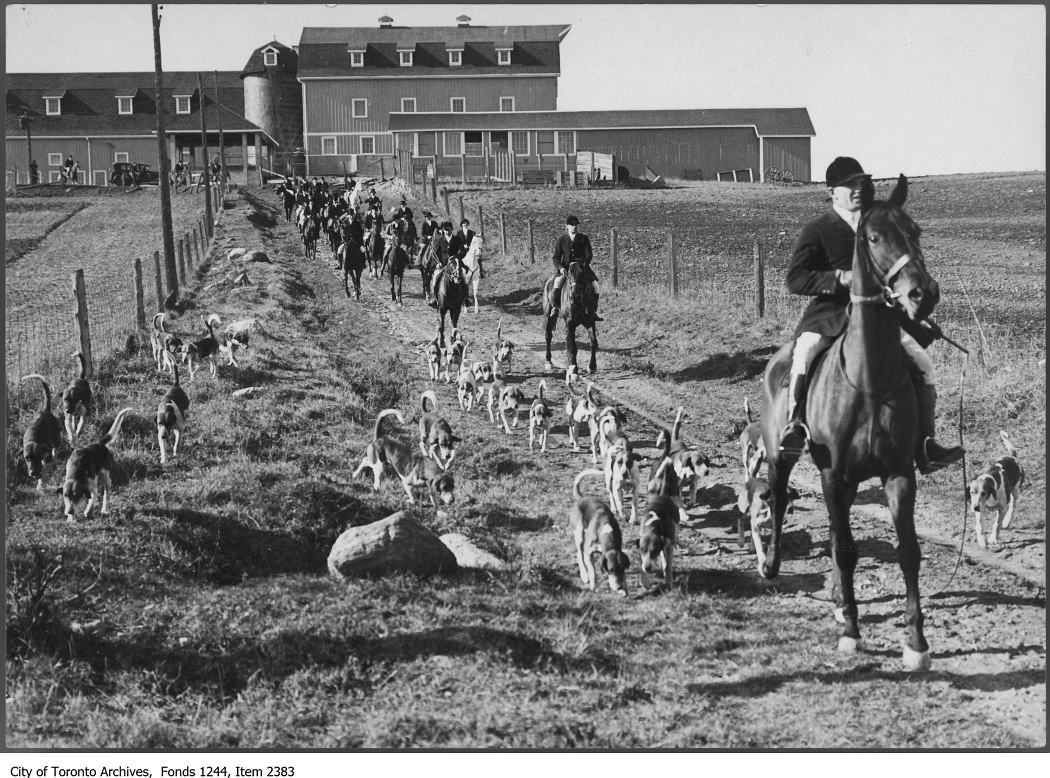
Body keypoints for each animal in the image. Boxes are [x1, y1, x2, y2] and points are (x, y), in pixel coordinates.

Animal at [760, 174, 940, 667]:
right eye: (874, 238)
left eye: (915, 230)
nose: (923, 295)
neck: (868, 377)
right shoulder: (834, 473)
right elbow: (844, 549)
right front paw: (852, 633)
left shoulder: (898, 473)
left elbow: (909, 551)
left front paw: (916, 643)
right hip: (782, 458)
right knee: (779, 501)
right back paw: (773, 567)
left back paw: (843, 601)